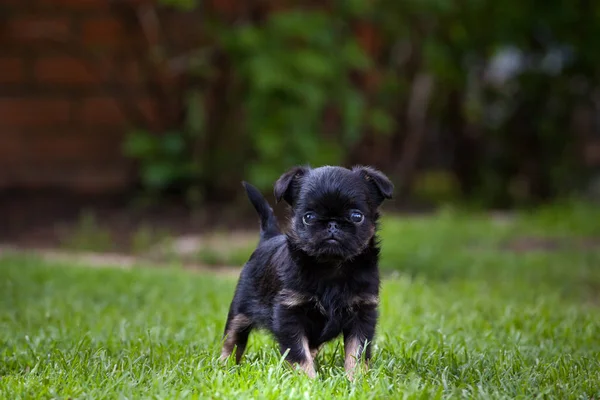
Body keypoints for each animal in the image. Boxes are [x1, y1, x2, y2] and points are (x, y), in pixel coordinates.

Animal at [220, 164, 394, 376]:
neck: (330, 266)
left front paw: (356, 379)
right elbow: (298, 353)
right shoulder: (289, 313)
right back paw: (224, 366)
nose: (332, 223)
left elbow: (357, 353)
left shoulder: (363, 313)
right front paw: (307, 379)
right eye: (309, 217)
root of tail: (269, 238)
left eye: (356, 216)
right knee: (233, 340)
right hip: (240, 311)